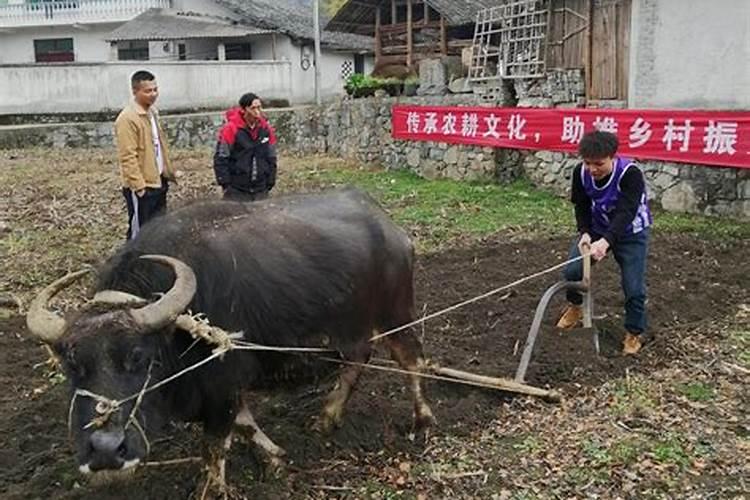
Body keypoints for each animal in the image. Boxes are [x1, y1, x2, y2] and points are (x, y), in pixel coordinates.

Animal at [26, 188, 434, 492]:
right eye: (72, 365)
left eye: (140, 357)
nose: (105, 451)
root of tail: (392, 228)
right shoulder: (224, 385)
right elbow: (245, 423)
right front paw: (275, 457)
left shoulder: (221, 385)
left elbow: (215, 446)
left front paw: (213, 490)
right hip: (352, 327)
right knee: (358, 357)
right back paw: (327, 416)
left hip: (396, 313)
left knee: (411, 359)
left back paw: (422, 420)